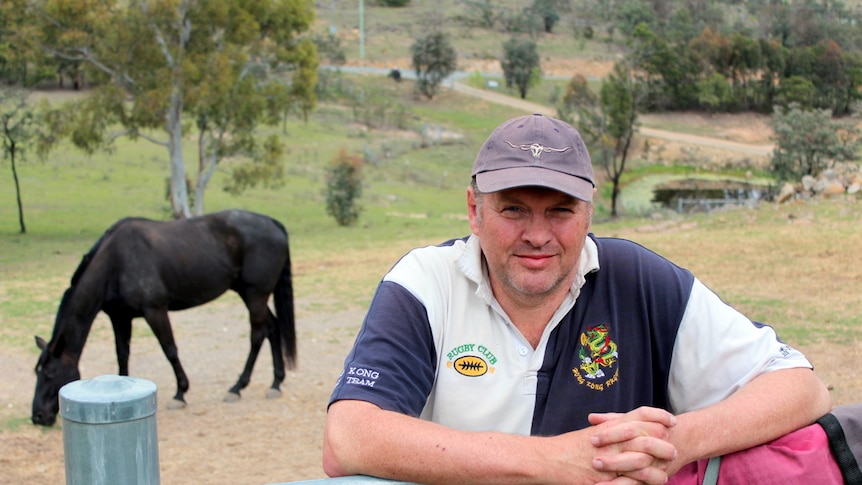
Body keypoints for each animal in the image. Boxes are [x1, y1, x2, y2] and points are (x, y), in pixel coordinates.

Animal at [31, 210, 296, 426]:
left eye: (50, 374)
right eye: (37, 372)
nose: (38, 416)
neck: (115, 261)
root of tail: (273, 223)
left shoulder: (155, 310)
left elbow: (170, 350)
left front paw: (180, 393)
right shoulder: (120, 317)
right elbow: (122, 354)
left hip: (255, 295)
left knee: (258, 334)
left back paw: (237, 387)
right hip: (247, 293)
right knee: (273, 328)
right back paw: (276, 382)